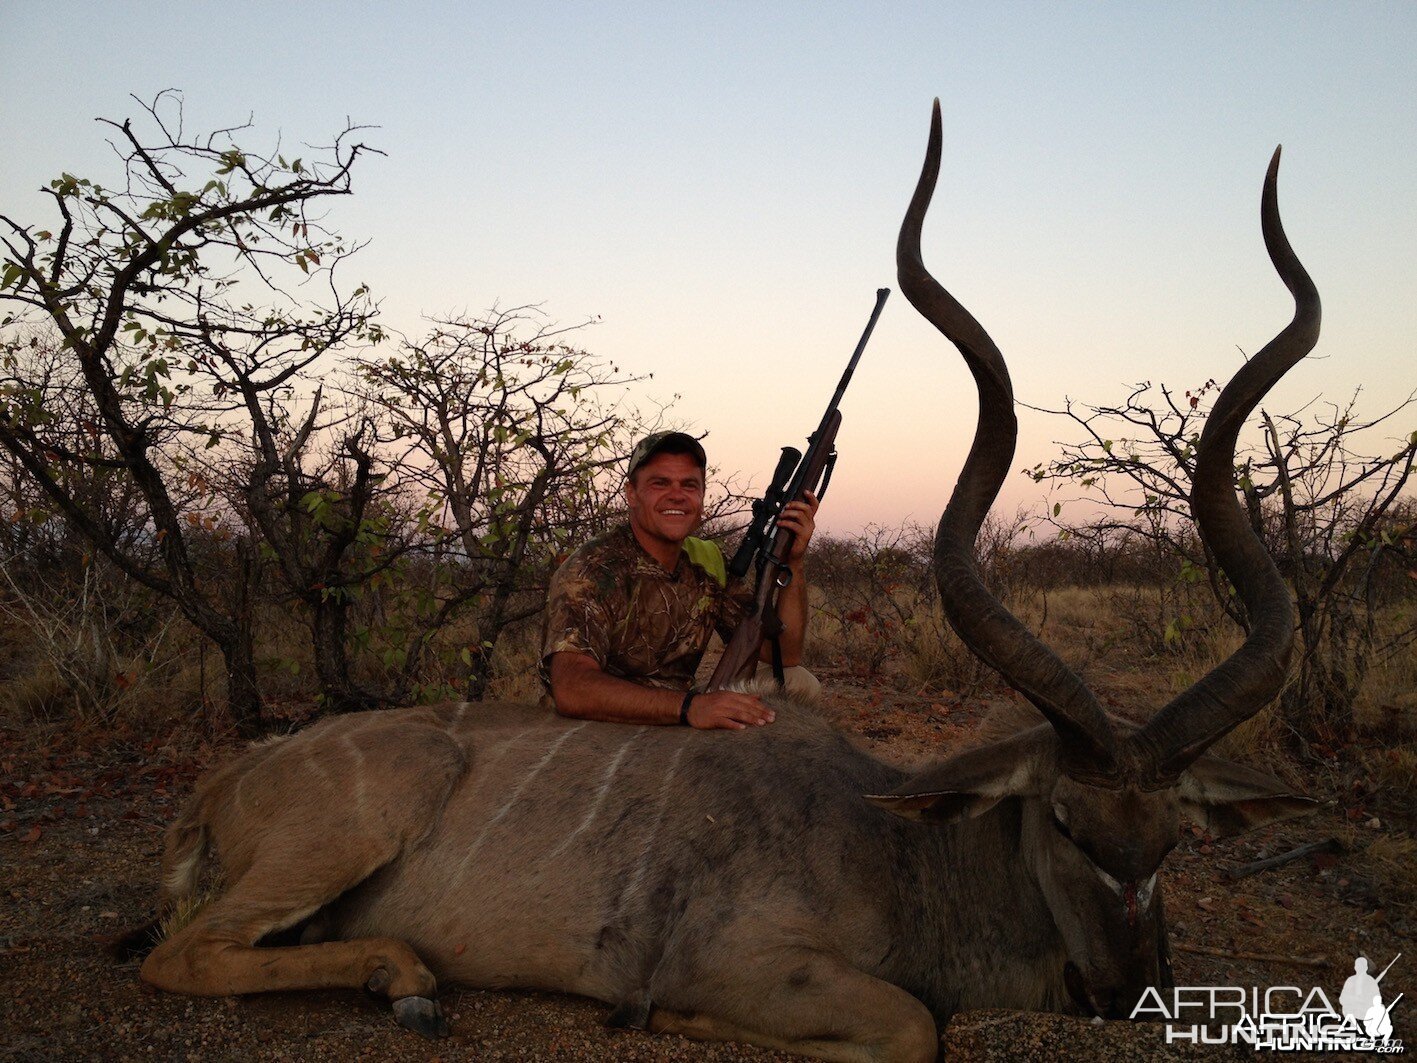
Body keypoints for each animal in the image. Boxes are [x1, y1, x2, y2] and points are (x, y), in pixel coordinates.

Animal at [130, 97, 1314, 1060]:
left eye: (1171, 840)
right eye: (1064, 822)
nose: (1127, 995)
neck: (895, 844)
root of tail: (223, 786)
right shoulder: (750, 959)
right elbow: (910, 1026)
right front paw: (669, 1018)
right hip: (355, 824)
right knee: (176, 955)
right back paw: (407, 976)